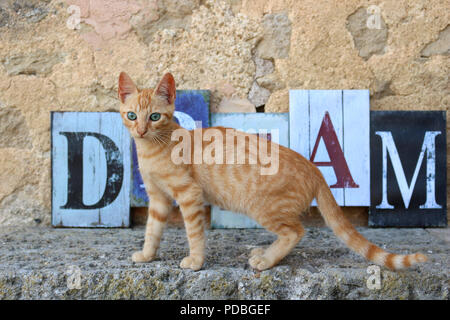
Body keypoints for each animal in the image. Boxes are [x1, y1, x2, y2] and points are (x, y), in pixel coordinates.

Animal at [118, 73, 428, 272]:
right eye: (132, 116)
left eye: (155, 117)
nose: (141, 130)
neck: (153, 149)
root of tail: (313, 167)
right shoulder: (158, 199)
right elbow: (152, 229)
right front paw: (147, 255)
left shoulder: (189, 194)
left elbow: (194, 233)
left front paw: (195, 262)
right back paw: (264, 252)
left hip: (263, 208)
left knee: (296, 231)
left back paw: (266, 261)